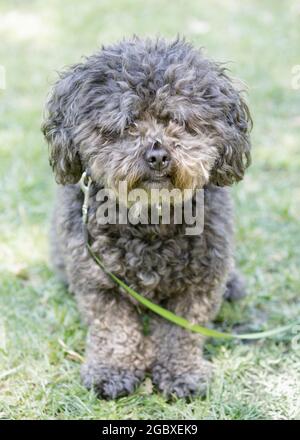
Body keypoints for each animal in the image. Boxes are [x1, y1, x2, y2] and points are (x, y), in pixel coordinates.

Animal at [42, 37, 252, 398]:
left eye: (179, 121)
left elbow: (182, 332)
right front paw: (112, 371)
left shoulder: (200, 281)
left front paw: (181, 373)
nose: (157, 156)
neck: (150, 216)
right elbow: (113, 329)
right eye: (126, 124)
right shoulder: (97, 280)